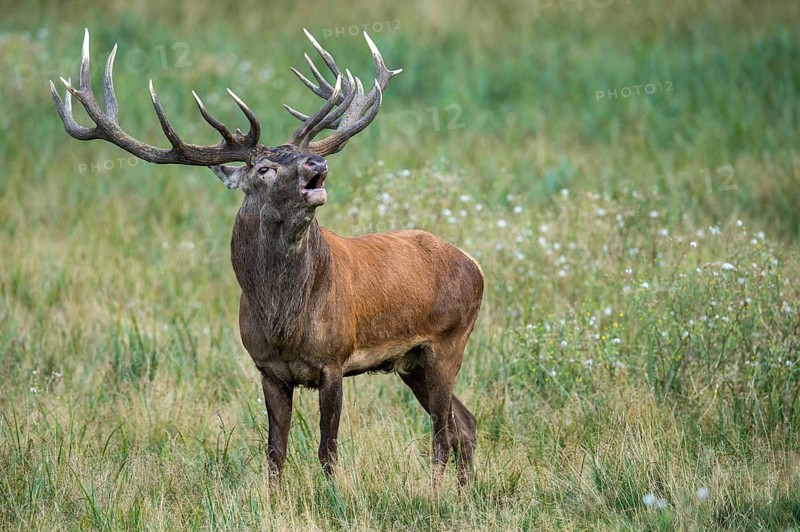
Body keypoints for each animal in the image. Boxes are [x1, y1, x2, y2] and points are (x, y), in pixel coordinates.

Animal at [50, 29, 483, 488]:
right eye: (265, 170)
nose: (318, 162)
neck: (283, 324)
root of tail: (475, 265)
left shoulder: (334, 360)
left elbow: (327, 451)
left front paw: (333, 497)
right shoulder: (267, 368)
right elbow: (275, 453)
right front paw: (274, 498)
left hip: (448, 341)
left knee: (443, 432)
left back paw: (436, 492)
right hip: (411, 362)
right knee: (464, 423)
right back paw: (460, 492)